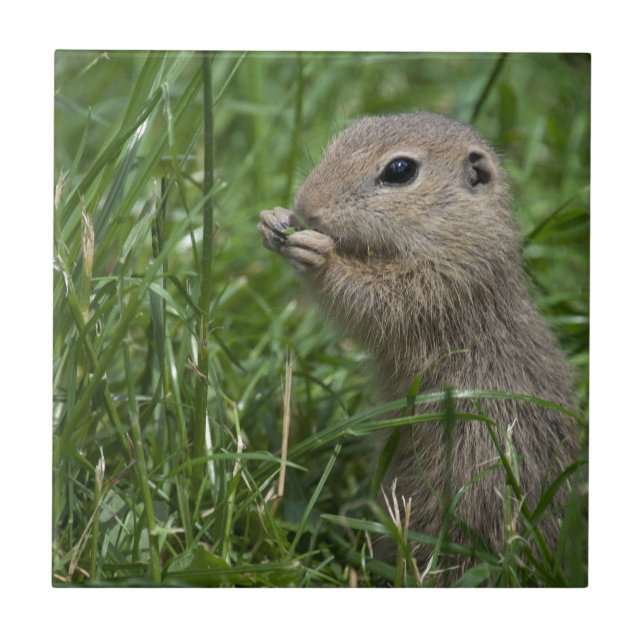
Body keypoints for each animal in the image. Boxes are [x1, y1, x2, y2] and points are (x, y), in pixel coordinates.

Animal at [258, 112, 579, 583]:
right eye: (343, 136)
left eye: (399, 170)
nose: (306, 207)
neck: (457, 231)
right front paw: (272, 221)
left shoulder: (443, 284)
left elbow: (375, 299)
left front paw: (318, 255)